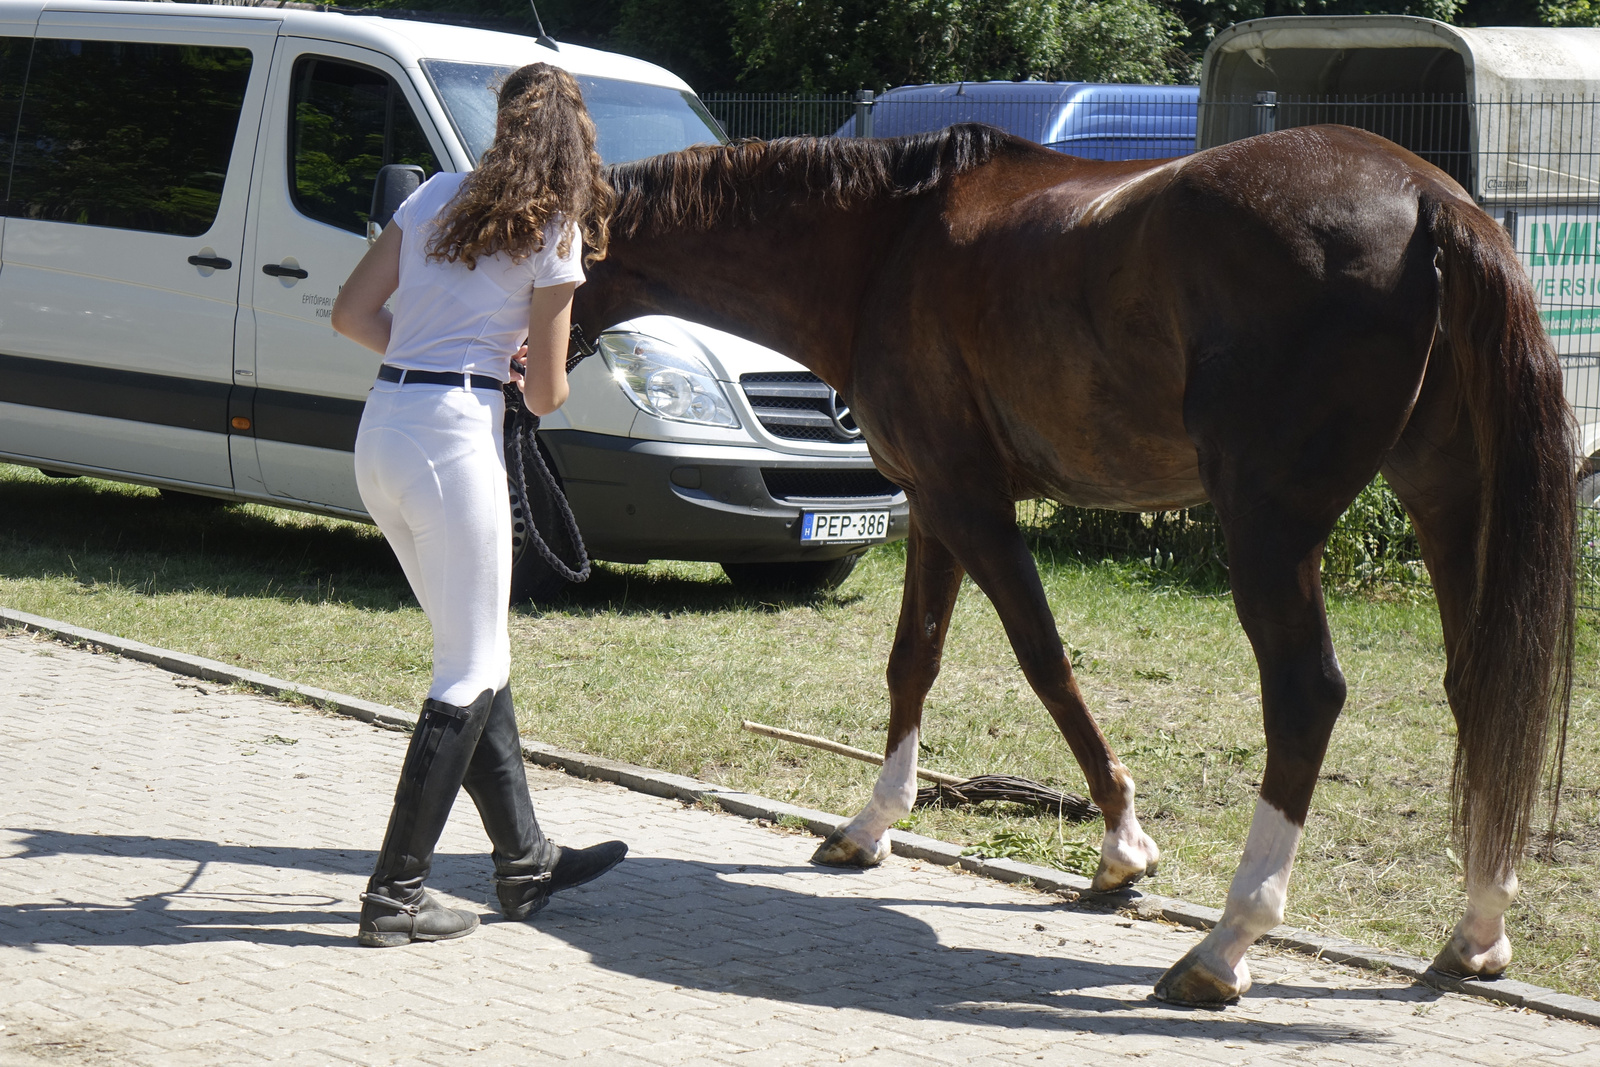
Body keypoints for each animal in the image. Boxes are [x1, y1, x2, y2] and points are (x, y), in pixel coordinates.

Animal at [569, 125, 1568, 1011]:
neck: (886, 247)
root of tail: (1428, 198)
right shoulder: (933, 505)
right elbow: (913, 661)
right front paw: (871, 824)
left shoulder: (968, 502)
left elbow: (1043, 659)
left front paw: (1123, 845)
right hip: (1447, 502)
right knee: (1478, 685)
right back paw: (1479, 929)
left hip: (1271, 528)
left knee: (1305, 695)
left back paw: (1226, 943)